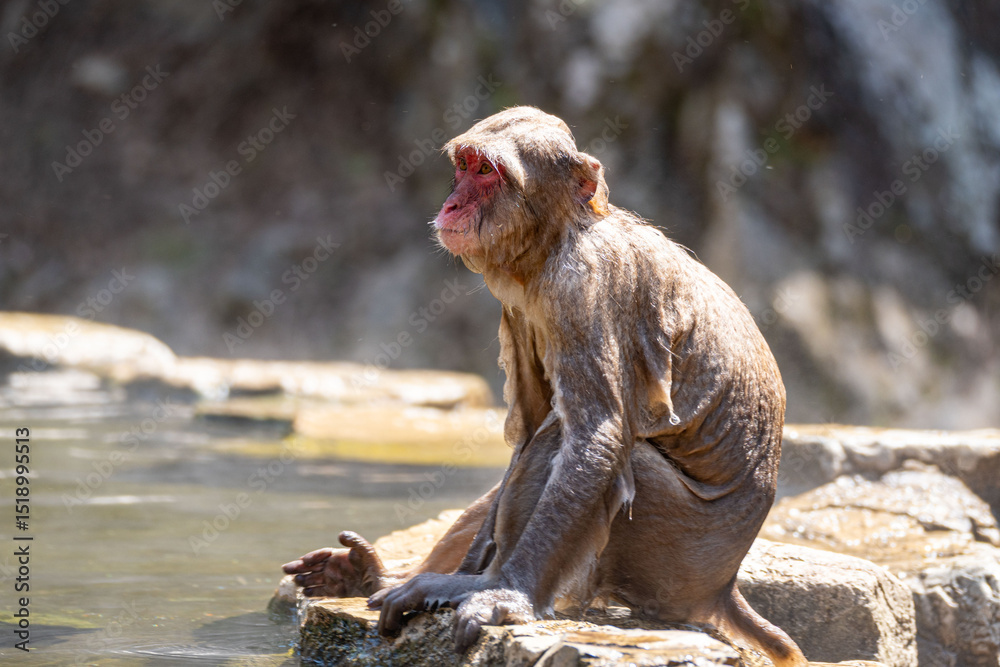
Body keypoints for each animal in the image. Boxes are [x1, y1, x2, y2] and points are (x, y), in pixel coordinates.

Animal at [282, 106, 806, 667]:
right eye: (464, 166)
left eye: (486, 172)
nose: (452, 202)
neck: (558, 240)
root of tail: (721, 586)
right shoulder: (518, 308)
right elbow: (528, 430)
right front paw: (449, 578)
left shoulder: (585, 286)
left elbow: (594, 435)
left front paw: (505, 594)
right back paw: (386, 575)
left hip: (678, 556)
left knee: (574, 446)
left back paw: (486, 585)